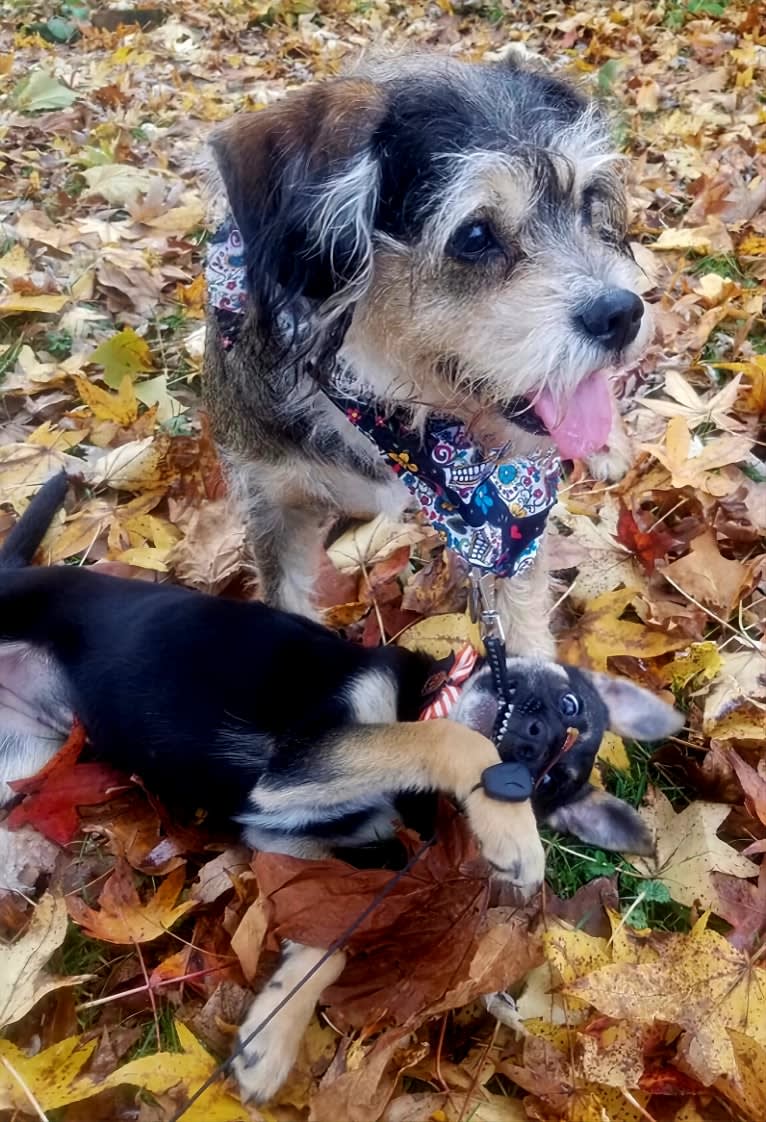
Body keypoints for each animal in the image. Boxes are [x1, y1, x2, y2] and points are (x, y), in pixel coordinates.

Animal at [0, 475, 681, 1104]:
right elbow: (452, 741)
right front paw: (514, 839)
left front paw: (268, 1041)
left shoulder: (281, 831)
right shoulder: (304, 760)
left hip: (28, 756)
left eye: (548, 781)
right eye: (568, 707)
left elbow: (330, 949)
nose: (535, 743)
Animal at [200, 52, 650, 655]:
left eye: (584, 203)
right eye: (474, 235)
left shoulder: (507, 520)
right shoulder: (271, 501)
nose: (622, 314)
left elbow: (522, 619)